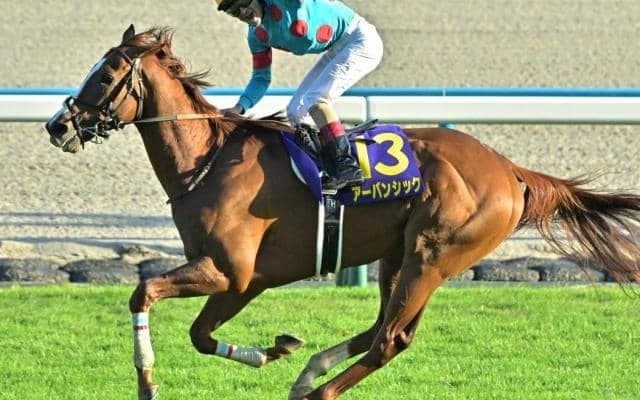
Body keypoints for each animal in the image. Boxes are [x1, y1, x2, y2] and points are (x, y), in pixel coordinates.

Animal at [44, 25, 640, 400]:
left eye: (105, 76)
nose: (57, 124)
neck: (208, 160)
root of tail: (509, 169)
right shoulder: (245, 281)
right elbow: (199, 335)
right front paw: (274, 350)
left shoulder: (229, 270)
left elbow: (143, 291)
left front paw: (147, 383)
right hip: (400, 256)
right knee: (383, 329)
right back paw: (309, 371)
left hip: (433, 254)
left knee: (390, 339)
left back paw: (318, 391)